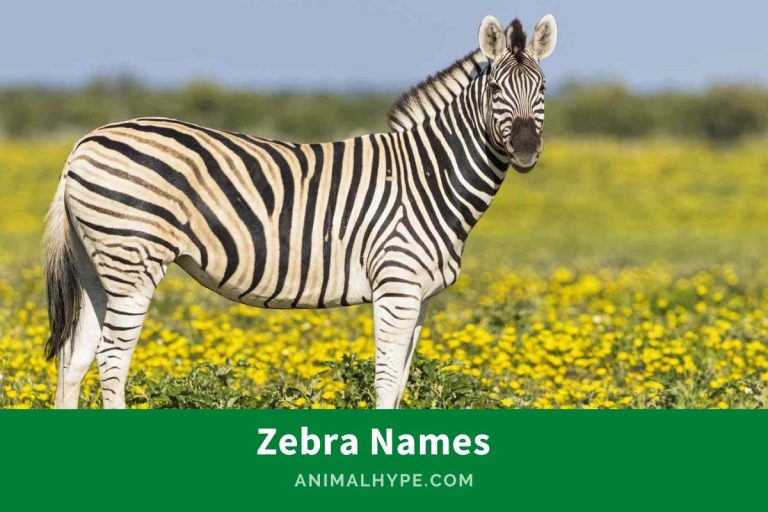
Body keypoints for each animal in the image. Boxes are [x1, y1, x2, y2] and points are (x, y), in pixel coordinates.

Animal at [44, 14, 558, 409]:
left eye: (543, 88)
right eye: (496, 89)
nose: (526, 151)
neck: (427, 178)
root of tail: (83, 143)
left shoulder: (422, 297)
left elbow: (401, 382)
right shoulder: (396, 286)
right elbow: (386, 381)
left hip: (97, 267)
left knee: (76, 357)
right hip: (132, 259)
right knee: (112, 359)